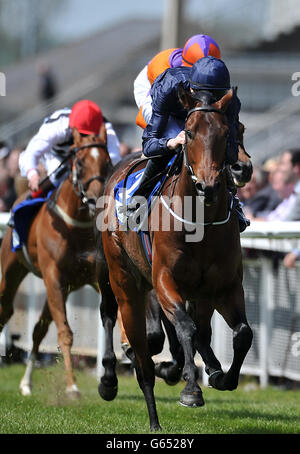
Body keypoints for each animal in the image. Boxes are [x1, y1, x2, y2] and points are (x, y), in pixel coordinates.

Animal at [0, 127, 118, 398]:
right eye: (80, 162)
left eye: (107, 162)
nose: (97, 199)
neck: (76, 225)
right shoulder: (53, 276)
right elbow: (65, 333)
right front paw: (72, 385)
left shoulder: (91, 278)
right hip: (11, 270)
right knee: (5, 310)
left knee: (38, 330)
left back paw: (26, 382)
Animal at [101, 88, 253, 430]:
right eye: (190, 132)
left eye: (231, 131)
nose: (209, 184)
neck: (201, 223)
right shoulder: (164, 280)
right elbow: (185, 328)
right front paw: (191, 390)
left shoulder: (224, 288)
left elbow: (242, 334)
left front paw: (221, 377)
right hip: (125, 284)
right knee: (143, 359)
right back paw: (152, 415)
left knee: (198, 334)